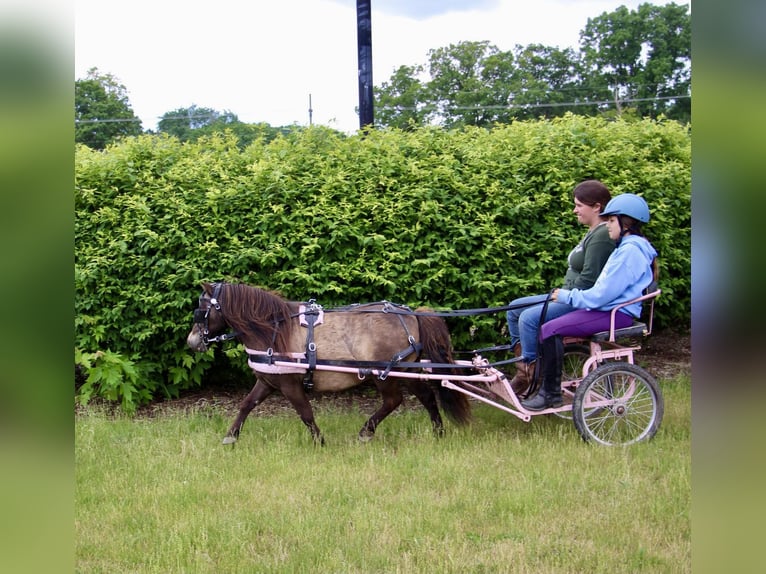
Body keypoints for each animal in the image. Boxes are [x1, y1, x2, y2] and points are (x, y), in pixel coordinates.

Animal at [189, 284, 472, 446]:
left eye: (201, 309)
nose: (191, 341)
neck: (274, 329)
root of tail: (411, 315)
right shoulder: (268, 380)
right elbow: (246, 405)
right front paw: (231, 436)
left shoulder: (290, 384)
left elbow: (305, 413)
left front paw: (319, 441)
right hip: (405, 371)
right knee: (427, 397)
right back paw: (438, 432)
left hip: (385, 373)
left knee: (394, 401)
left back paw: (366, 431)